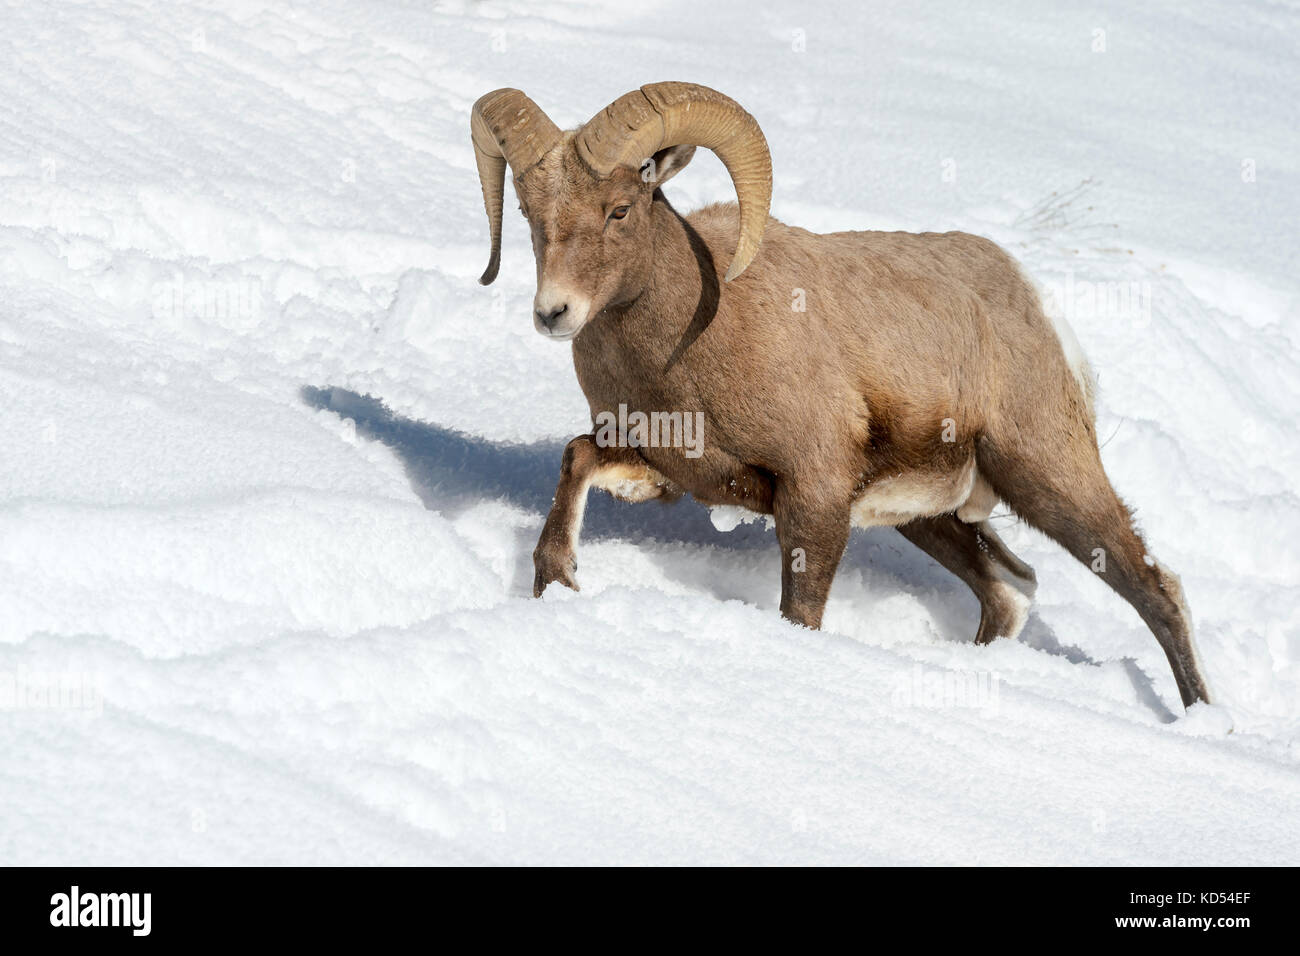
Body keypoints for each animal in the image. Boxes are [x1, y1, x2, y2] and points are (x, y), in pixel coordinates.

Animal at [473, 83, 1211, 712]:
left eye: (619, 209)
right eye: (531, 216)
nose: (554, 313)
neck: (690, 343)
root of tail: (1031, 299)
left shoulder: (814, 497)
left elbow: (801, 613)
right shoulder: (667, 470)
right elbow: (575, 459)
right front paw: (559, 580)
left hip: (1049, 478)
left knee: (1156, 589)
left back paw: (1205, 719)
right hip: (934, 516)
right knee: (1010, 592)